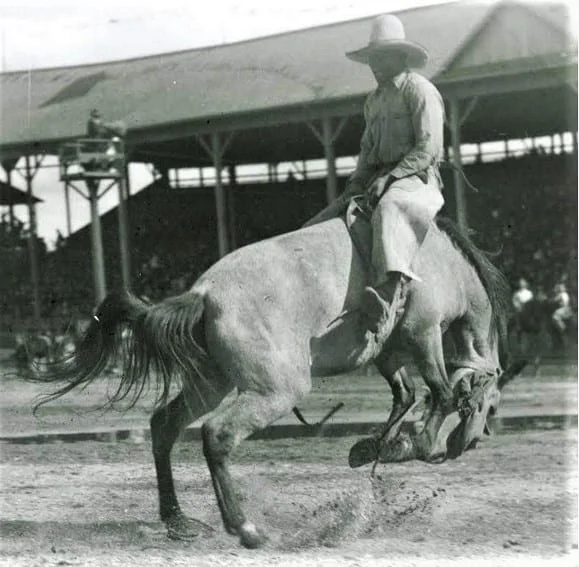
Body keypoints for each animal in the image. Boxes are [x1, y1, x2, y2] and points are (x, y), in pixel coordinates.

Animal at [29, 205, 524, 552]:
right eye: (492, 405)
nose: (467, 446)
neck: (442, 261)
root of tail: (204, 294)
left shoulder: (390, 351)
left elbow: (407, 395)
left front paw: (374, 447)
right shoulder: (423, 333)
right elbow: (438, 393)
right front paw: (413, 444)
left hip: (211, 383)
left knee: (164, 426)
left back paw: (178, 520)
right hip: (275, 390)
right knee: (217, 435)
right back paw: (246, 528)